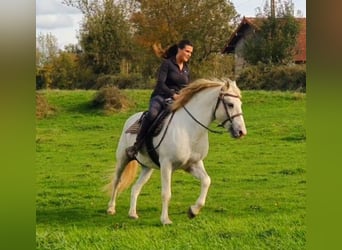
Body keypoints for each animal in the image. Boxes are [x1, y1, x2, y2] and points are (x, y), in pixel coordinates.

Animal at [106, 78, 246, 225]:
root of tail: (131, 118)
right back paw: (111, 208)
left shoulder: (193, 164)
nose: (241, 132)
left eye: (240, 104)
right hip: (123, 158)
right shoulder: (166, 165)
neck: (189, 129)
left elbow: (206, 181)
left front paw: (193, 211)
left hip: (147, 168)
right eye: (230, 104)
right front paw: (165, 220)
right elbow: (166, 193)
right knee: (117, 181)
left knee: (135, 188)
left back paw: (132, 213)